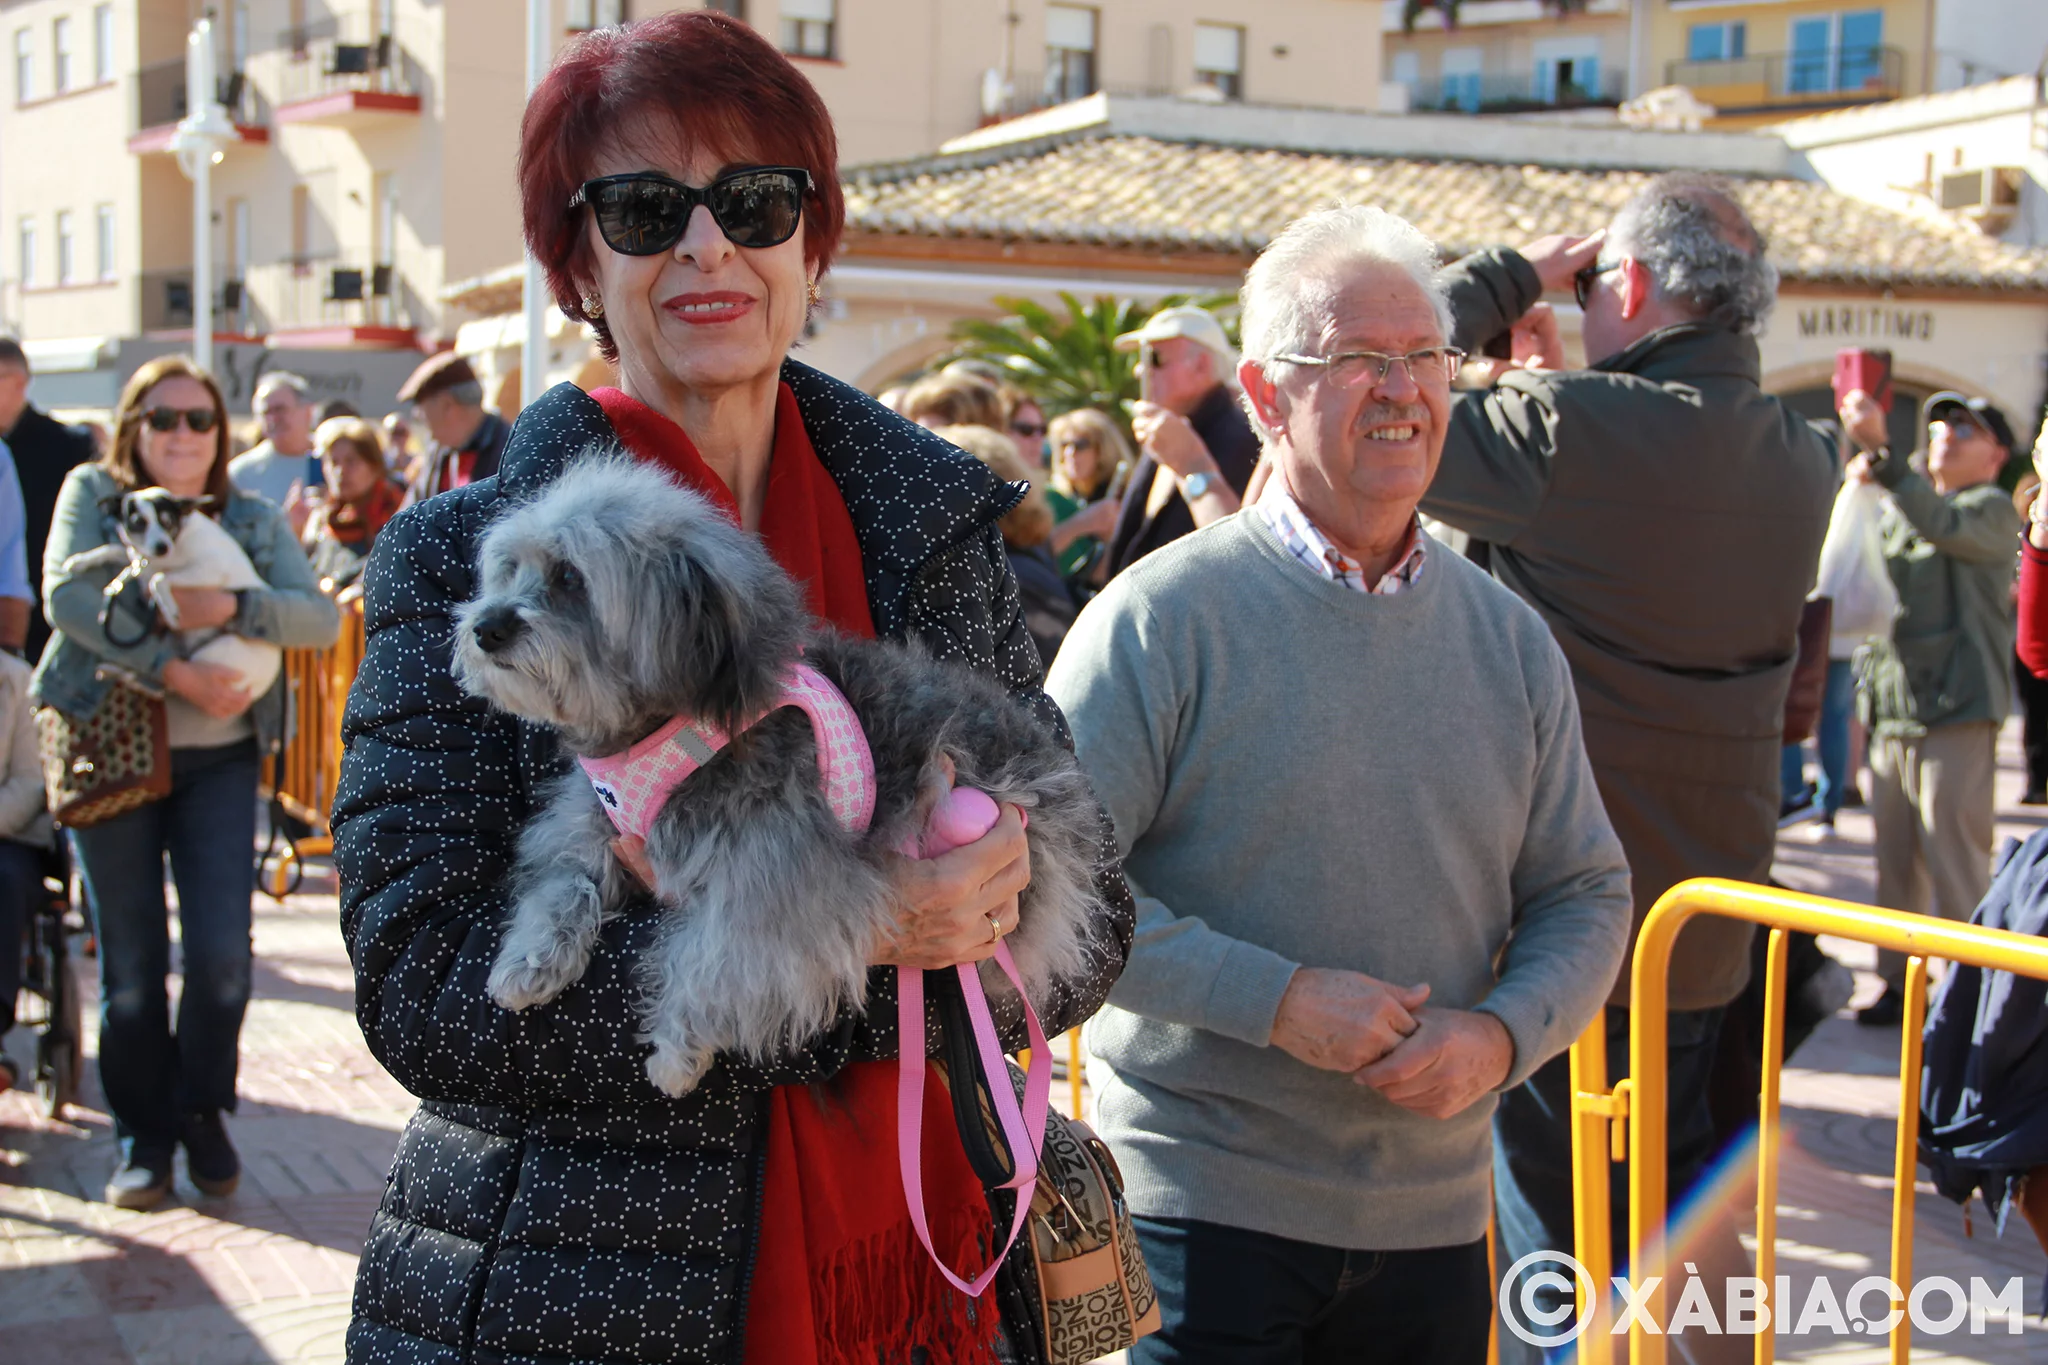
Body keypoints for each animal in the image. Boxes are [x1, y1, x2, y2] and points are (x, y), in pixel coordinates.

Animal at [450, 458, 1105, 1096]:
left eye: (569, 578)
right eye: (509, 570)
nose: (486, 628)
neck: (669, 730)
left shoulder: (777, 887)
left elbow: (709, 958)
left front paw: (677, 1050)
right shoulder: (591, 826)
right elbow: (564, 884)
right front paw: (530, 959)